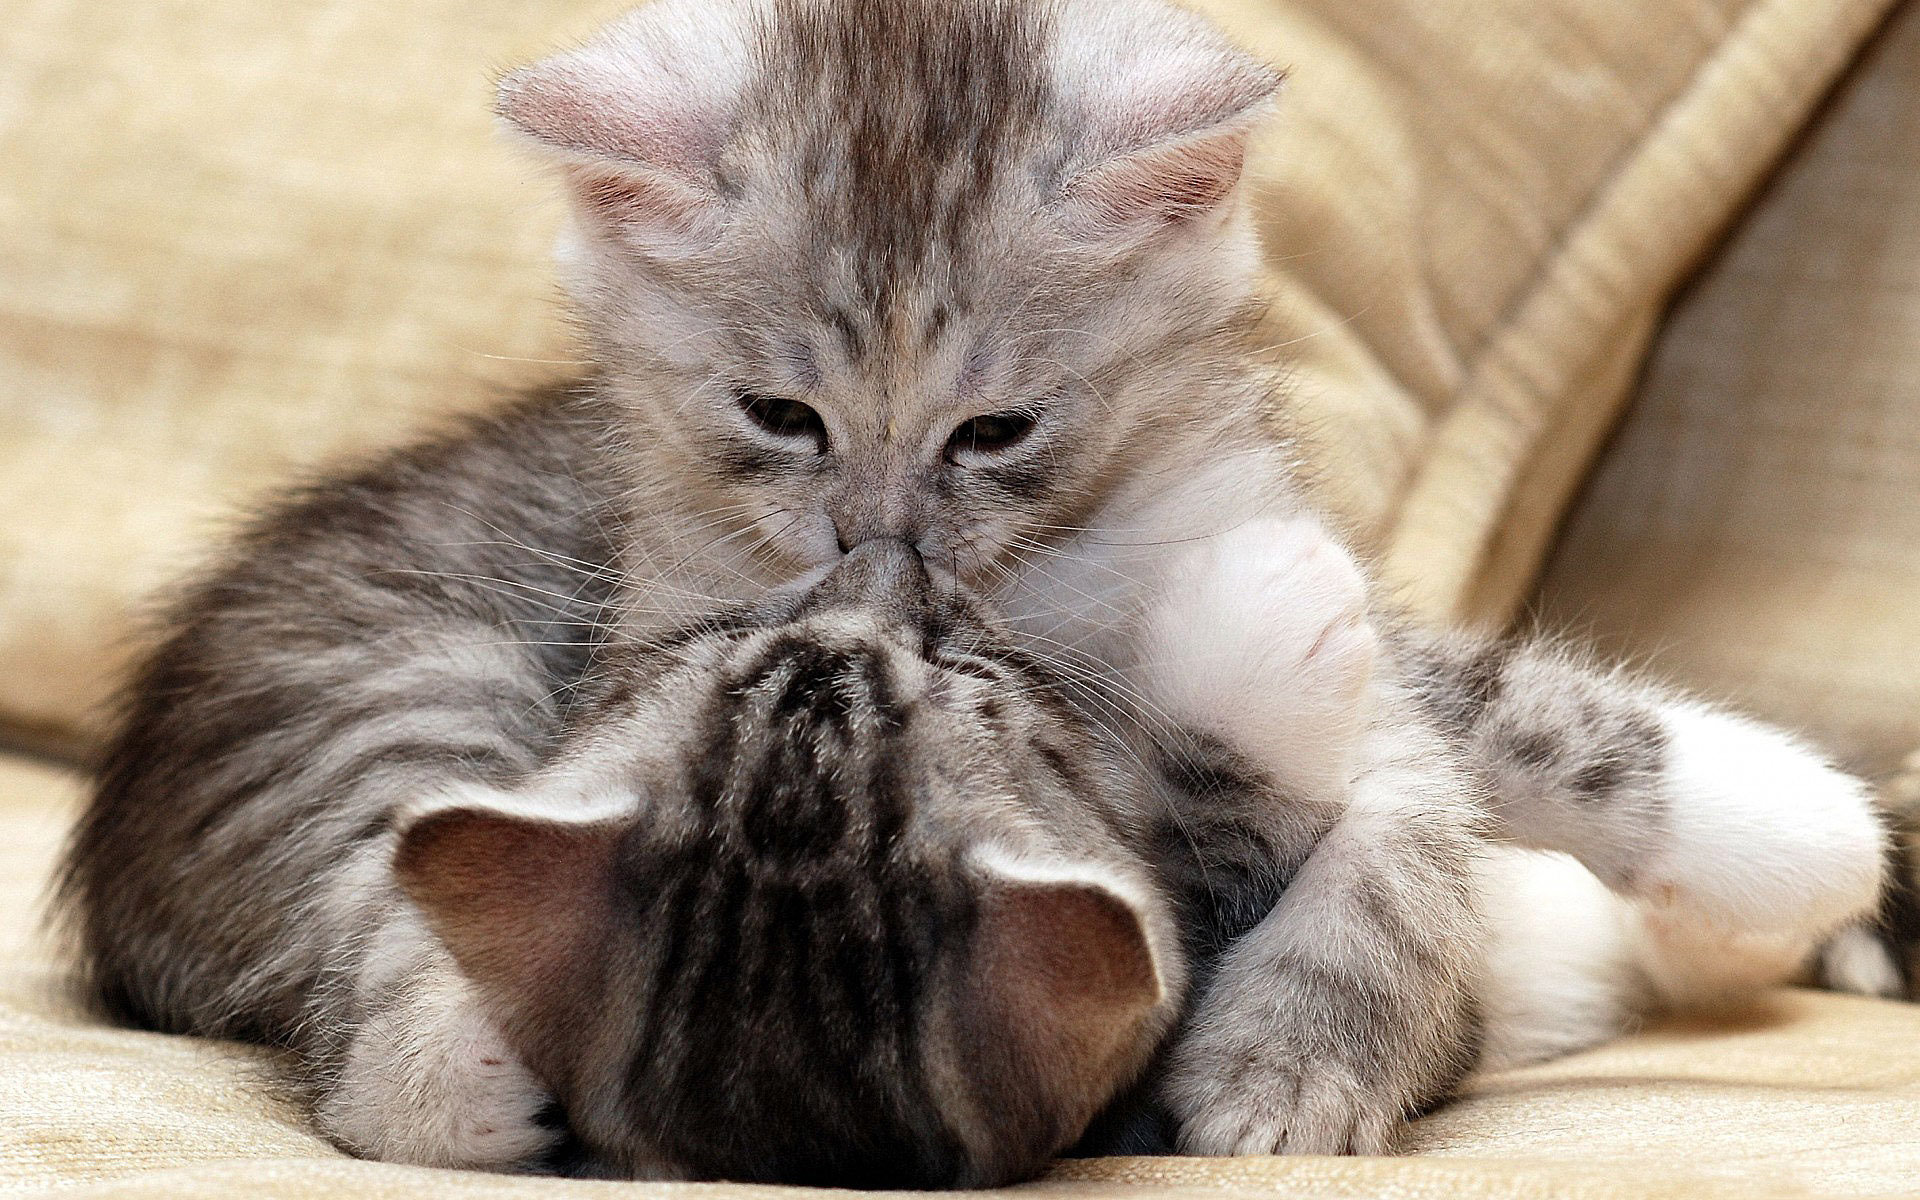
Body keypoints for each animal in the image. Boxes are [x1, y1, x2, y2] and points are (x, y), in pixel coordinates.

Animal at [52, 0, 1881, 1182]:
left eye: (995, 431)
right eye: (780, 418)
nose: (880, 553)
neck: (1057, 576)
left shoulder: (1315, 581)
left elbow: (1474, 761)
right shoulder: (669, 635)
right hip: (397, 688)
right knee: (376, 931)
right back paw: (453, 1073)